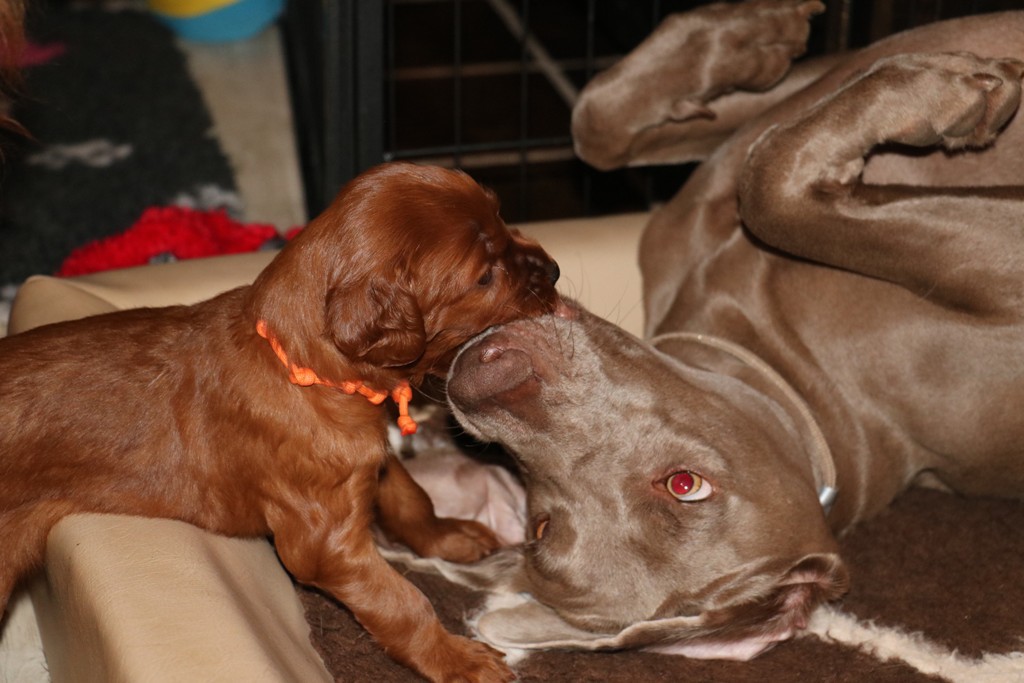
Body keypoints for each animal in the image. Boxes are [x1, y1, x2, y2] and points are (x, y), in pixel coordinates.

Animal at [0, 161, 563, 682]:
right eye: (484, 277)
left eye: (500, 213)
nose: (555, 270)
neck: (307, 370)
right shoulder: (323, 543)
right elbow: (401, 602)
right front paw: (455, 657)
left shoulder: (368, 460)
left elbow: (410, 499)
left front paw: (449, 536)